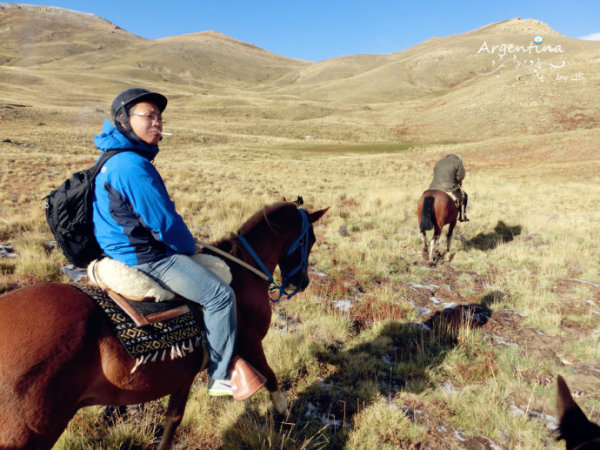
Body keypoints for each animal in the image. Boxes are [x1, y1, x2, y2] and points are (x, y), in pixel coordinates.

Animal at [0, 201, 328, 450]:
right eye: (309, 240)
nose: (301, 282)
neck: (242, 272)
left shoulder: (184, 374)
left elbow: (173, 419)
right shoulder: (250, 343)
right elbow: (271, 377)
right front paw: (285, 416)